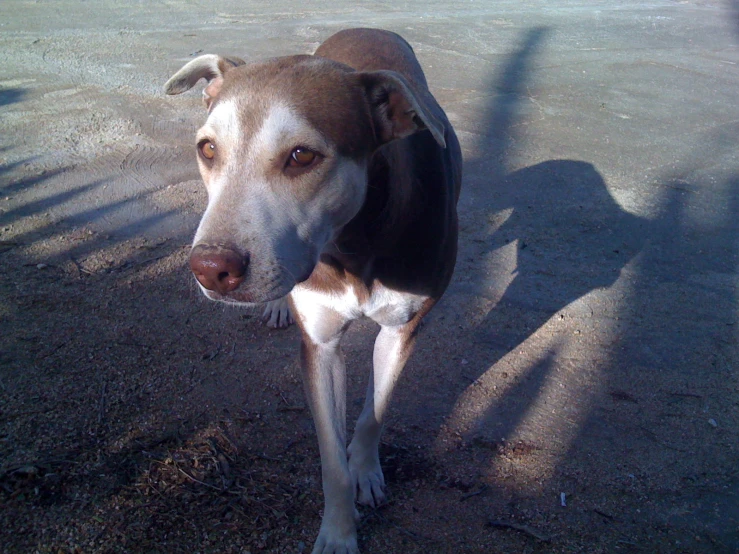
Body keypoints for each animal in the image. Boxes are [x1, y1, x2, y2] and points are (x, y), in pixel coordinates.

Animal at [165, 29, 460, 552]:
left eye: (302, 156)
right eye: (207, 149)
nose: (209, 268)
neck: (352, 244)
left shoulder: (401, 332)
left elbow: (373, 414)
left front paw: (366, 472)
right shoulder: (320, 346)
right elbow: (330, 458)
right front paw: (339, 533)